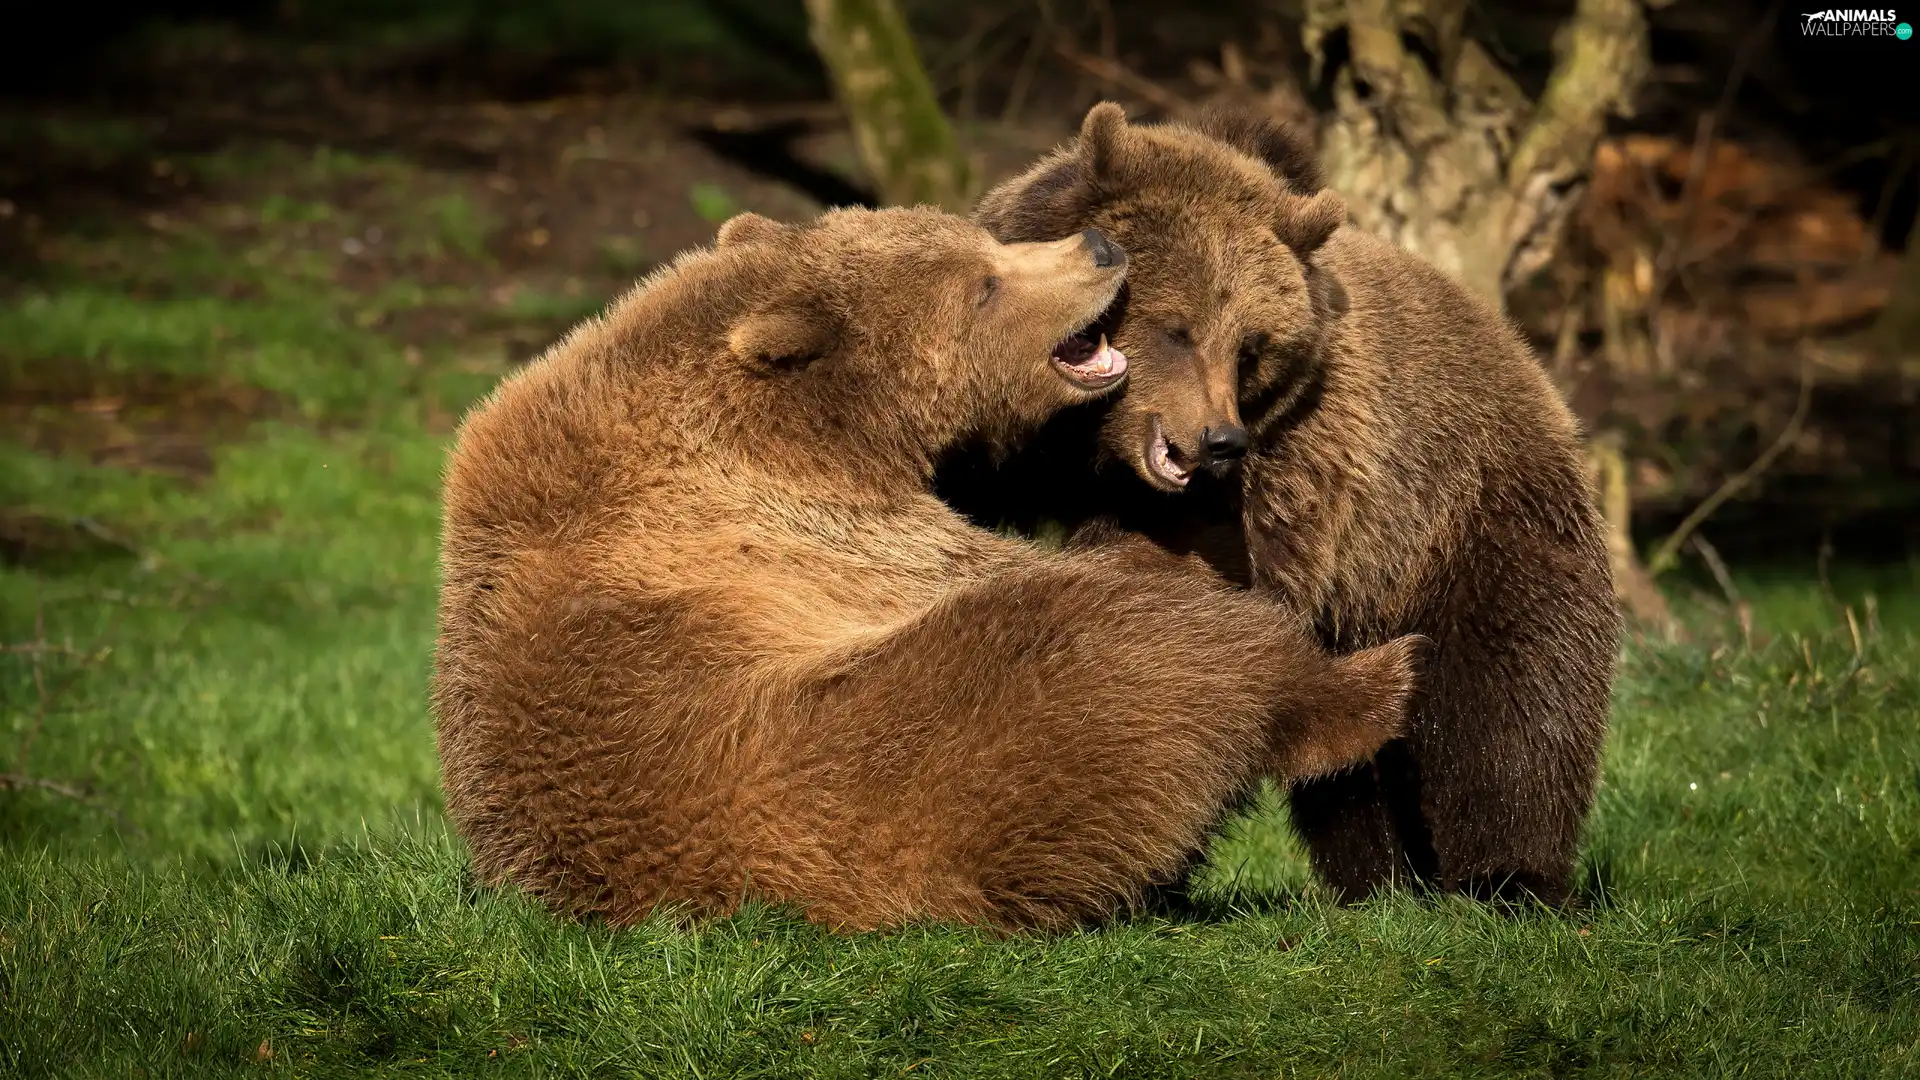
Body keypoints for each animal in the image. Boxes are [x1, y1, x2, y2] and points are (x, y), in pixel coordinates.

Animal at [435, 205, 1428, 930]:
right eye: (985, 286)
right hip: (922, 749)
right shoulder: (825, 538)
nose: (1101, 247)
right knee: (1138, 648)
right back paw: (1377, 680)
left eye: (982, 239)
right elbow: (1018, 567)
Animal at [944, 105, 1620, 903]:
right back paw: (1379, 882)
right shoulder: (1003, 441)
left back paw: (1508, 877)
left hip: (1468, 525)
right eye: (1177, 328)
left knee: (1511, 708)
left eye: (1250, 346)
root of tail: (1529, 366)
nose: (1219, 439)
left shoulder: (1288, 475)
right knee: (1352, 770)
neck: (1088, 449)